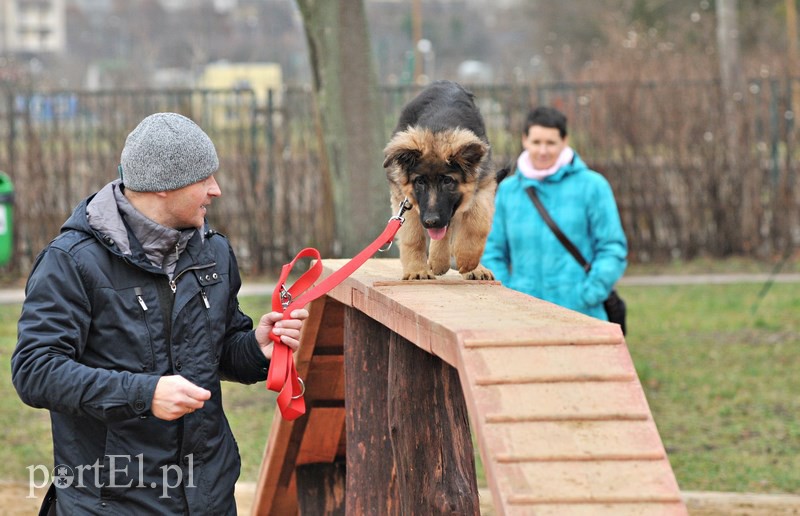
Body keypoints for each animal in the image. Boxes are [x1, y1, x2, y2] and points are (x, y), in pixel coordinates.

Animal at [382, 80, 500, 280]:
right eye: (420, 181)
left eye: (447, 181)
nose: (431, 221)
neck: (439, 128)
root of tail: (445, 82)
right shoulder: (404, 198)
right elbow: (414, 236)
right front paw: (418, 270)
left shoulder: (484, 184)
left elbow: (476, 224)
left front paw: (468, 260)